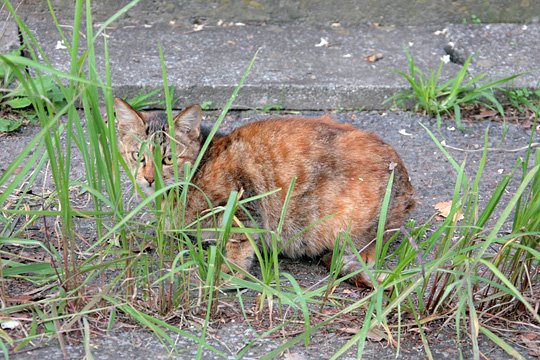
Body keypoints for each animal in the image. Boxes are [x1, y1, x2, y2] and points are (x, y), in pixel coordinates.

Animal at [114, 97, 416, 286]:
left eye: (167, 159)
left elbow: (235, 245)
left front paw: (224, 275)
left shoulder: (243, 202)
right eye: (137, 156)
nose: (148, 179)